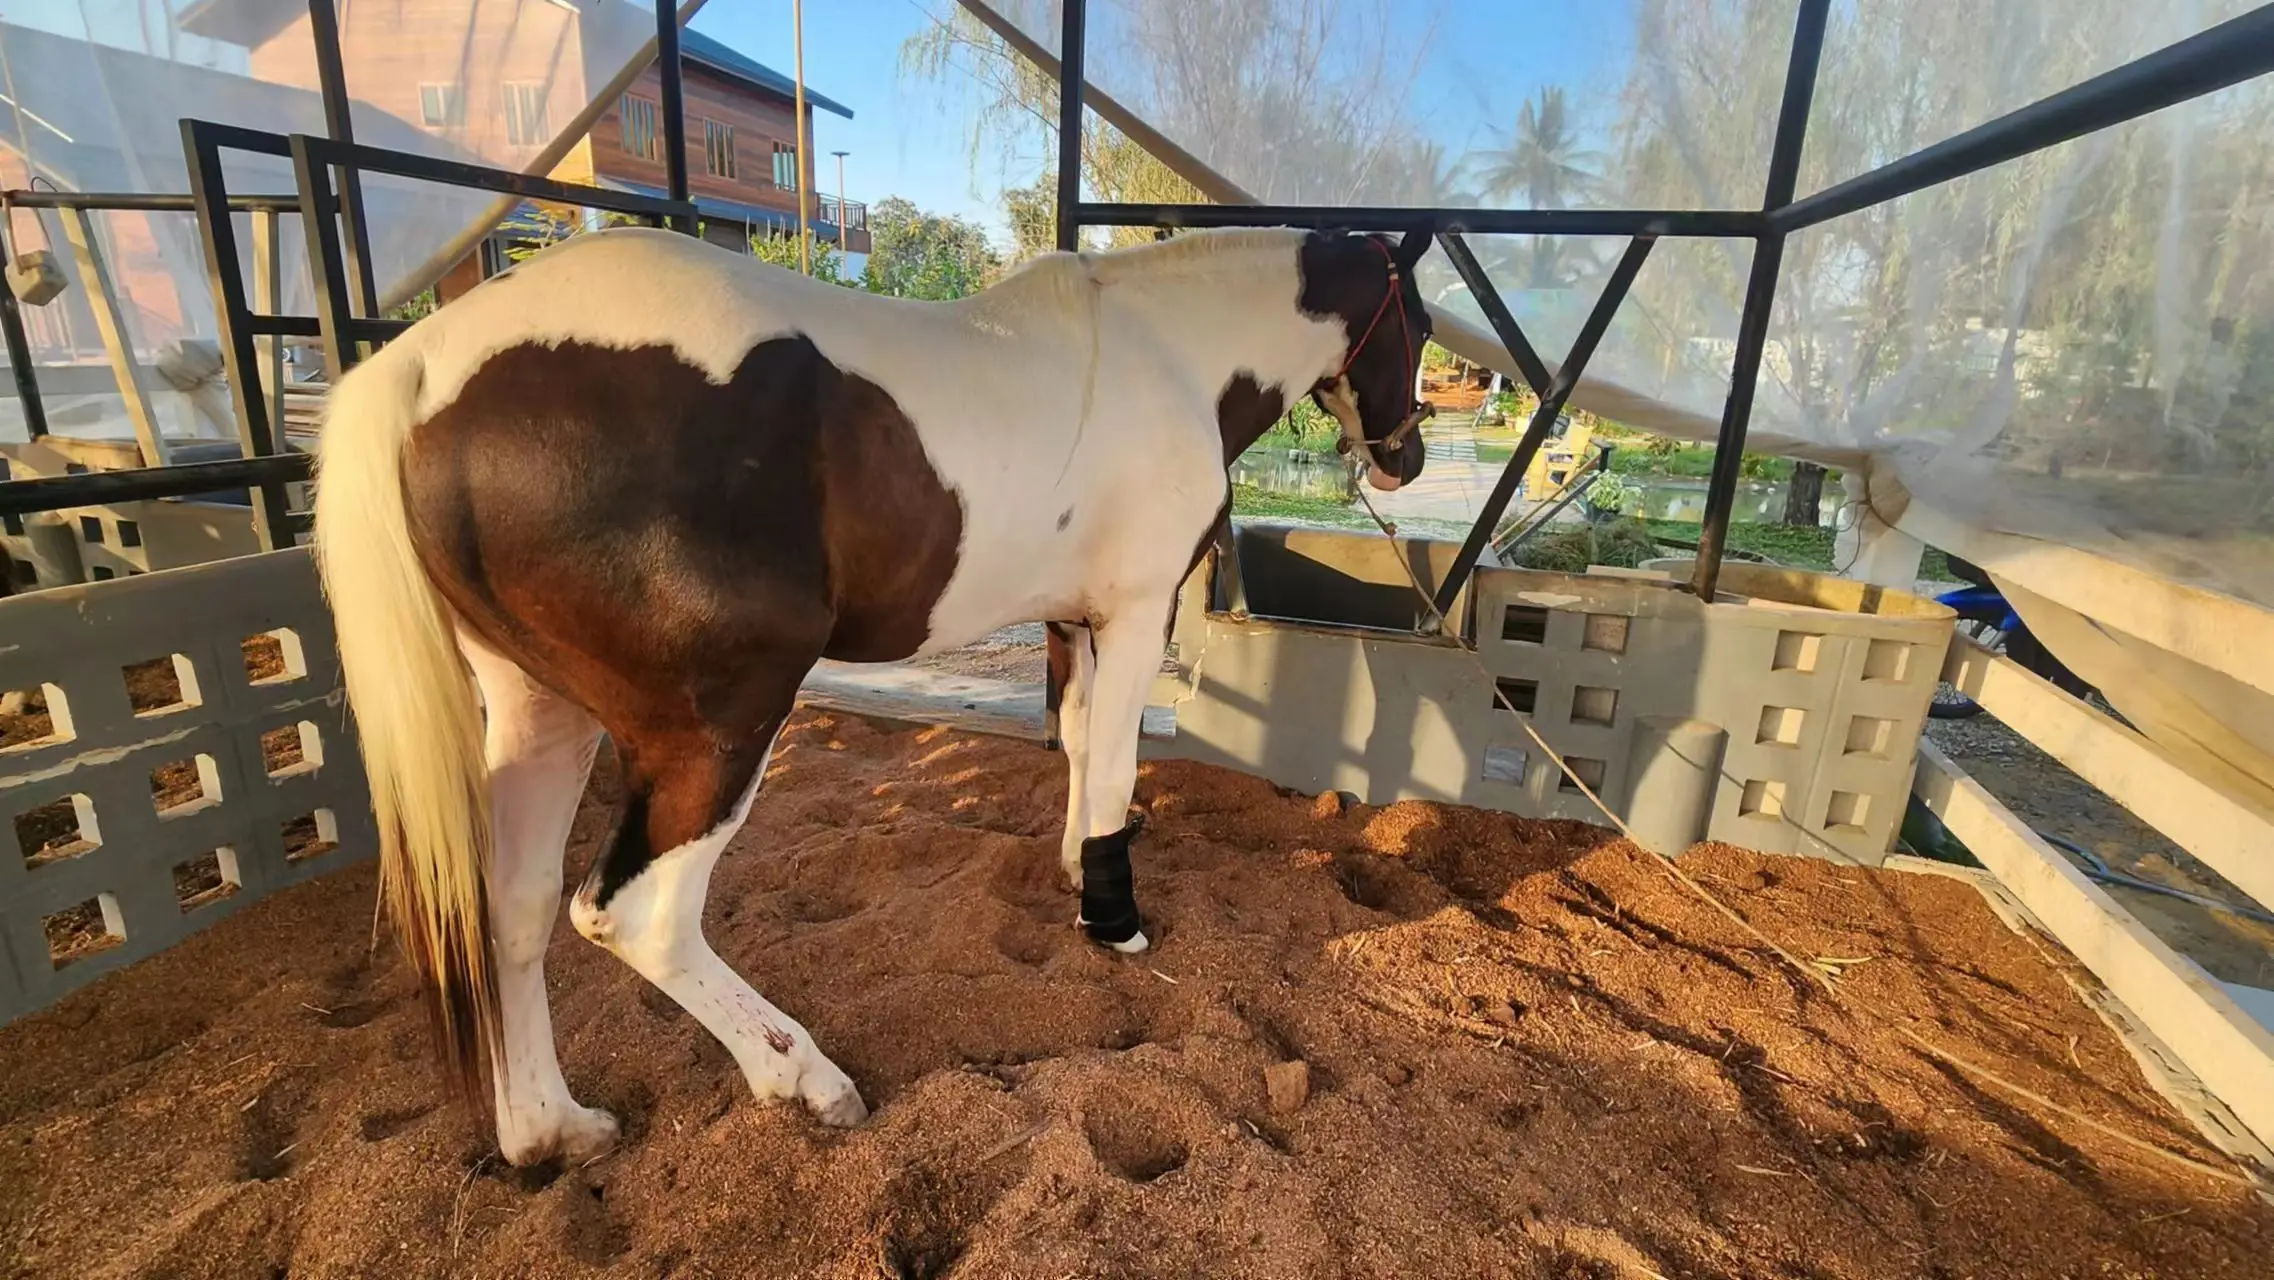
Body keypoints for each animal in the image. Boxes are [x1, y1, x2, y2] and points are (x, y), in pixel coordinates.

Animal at [311, 222, 1428, 1173]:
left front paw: (1077, 871)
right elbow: (1112, 759)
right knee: (637, 917)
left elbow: (1075, 743)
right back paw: (803, 1076)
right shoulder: (1137, 609)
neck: (1166, 352)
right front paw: (1115, 917)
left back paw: (551, 1129)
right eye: (1416, 320)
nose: (1406, 455)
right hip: (717, 727)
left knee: (510, 908)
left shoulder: (1073, 619)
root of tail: (424, 366)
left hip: (540, 717)